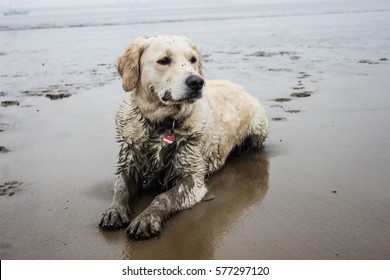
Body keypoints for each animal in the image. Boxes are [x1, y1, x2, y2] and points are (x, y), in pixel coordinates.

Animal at [99, 34, 268, 238]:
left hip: (259, 123)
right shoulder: (130, 161)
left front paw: (147, 217)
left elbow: (163, 197)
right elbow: (121, 187)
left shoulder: (192, 177)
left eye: (193, 60)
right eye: (164, 60)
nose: (197, 82)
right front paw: (114, 211)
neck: (161, 125)